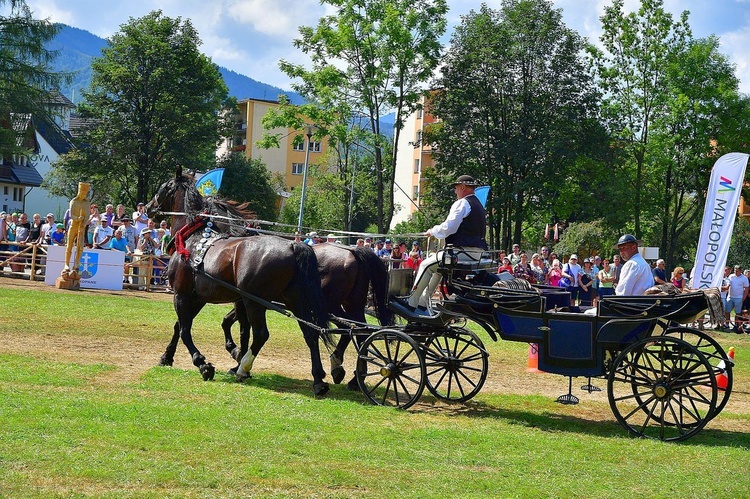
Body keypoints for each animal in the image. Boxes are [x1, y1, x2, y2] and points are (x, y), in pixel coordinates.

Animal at [147, 170, 334, 396]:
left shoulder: (182, 295)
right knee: (310, 333)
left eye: (163, 187)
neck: (192, 238)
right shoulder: (198, 298)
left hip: (255, 302)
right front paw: (167, 357)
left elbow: (185, 330)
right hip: (295, 301)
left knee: (261, 334)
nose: (148, 208)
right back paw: (318, 380)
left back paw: (243, 368)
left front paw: (203, 364)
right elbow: (181, 326)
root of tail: (293, 245)